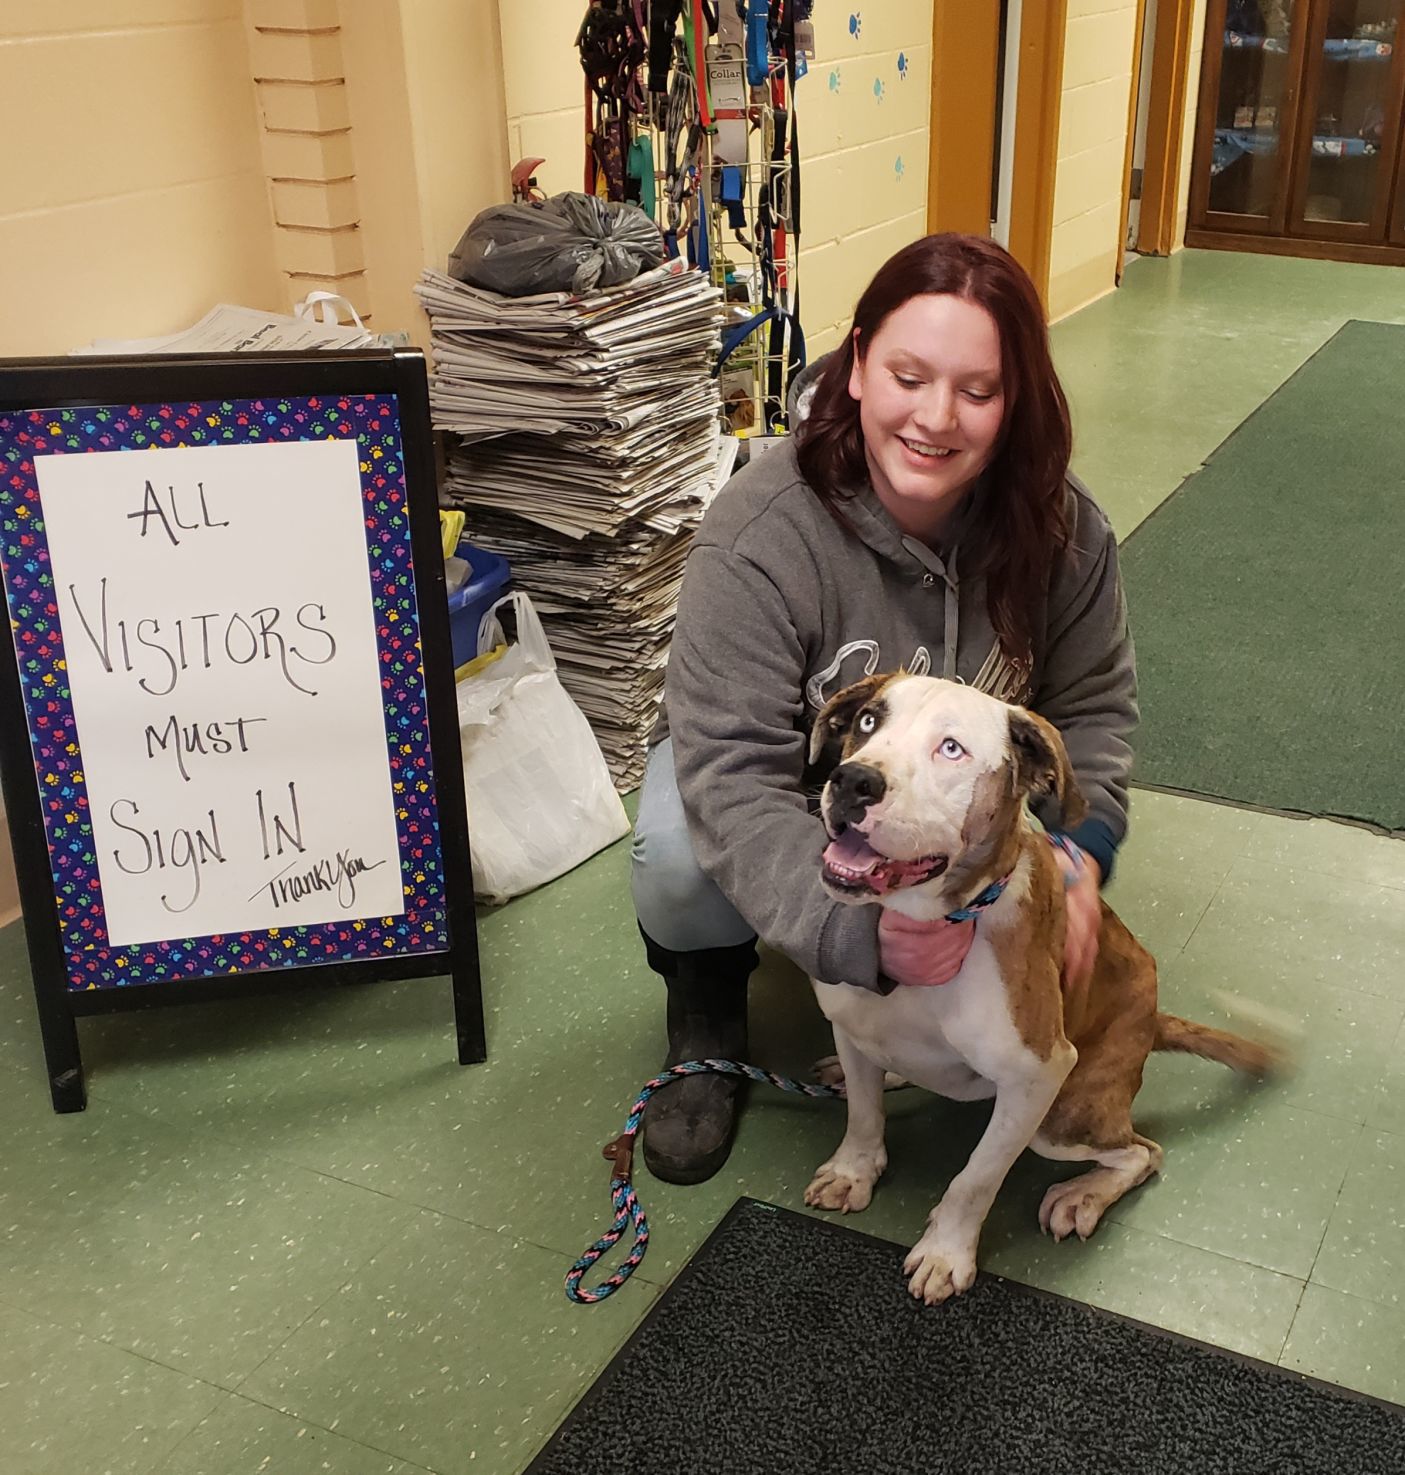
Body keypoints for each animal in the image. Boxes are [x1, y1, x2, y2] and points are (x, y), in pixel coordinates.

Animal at [802, 669, 1273, 1303]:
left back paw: (1081, 1196)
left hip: (1065, 1117)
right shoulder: (851, 1025)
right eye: (868, 721)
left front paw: (946, 1252)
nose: (852, 780)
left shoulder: (1036, 1078)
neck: (934, 924)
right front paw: (852, 1170)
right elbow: (863, 1114)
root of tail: (1153, 1019)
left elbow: (976, 1177)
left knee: (1142, 1151)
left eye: (952, 748)